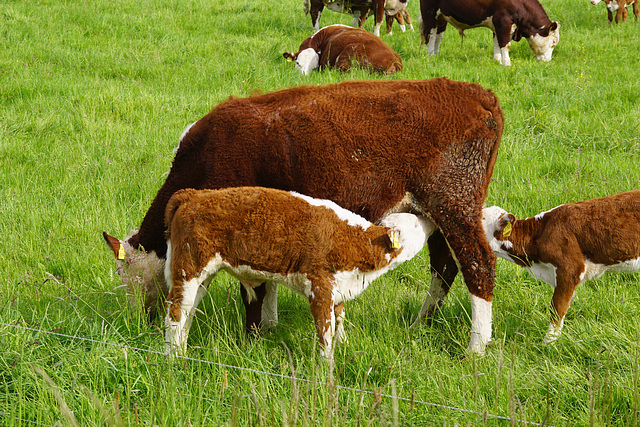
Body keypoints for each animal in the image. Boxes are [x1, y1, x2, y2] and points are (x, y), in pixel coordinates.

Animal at [165, 189, 436, 360]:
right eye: (414, 223)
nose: (429, 218)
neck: (352, 240)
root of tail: (193, 194)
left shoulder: (338, 288)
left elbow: (340, 318)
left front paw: (345, 346)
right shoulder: (320, 286)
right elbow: (325, 331)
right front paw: (327, 365)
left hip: (202, 276)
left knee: (189, 311)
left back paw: (182, 350)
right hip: (188, 268)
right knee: (176, 311)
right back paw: (173, 359)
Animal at [420, 0, 560, 66]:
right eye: (553, 42)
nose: (547, 60)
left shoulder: (498, 25)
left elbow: (497, 42)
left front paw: (497, 60)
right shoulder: (503, 21)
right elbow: (505, 44)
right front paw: (507, 63)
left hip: (442, 16)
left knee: (439, 35)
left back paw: (436, 54)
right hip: (429, 12)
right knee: (430, 34)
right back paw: (430, 55)